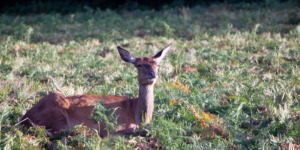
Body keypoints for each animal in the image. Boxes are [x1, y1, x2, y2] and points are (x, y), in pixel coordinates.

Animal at [19, 43, 172, 137]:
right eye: (139, 65)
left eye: (157, 64)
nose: (153, 74)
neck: (137, 114)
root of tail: (24, 118)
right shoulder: (114, 124)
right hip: (57, 109)